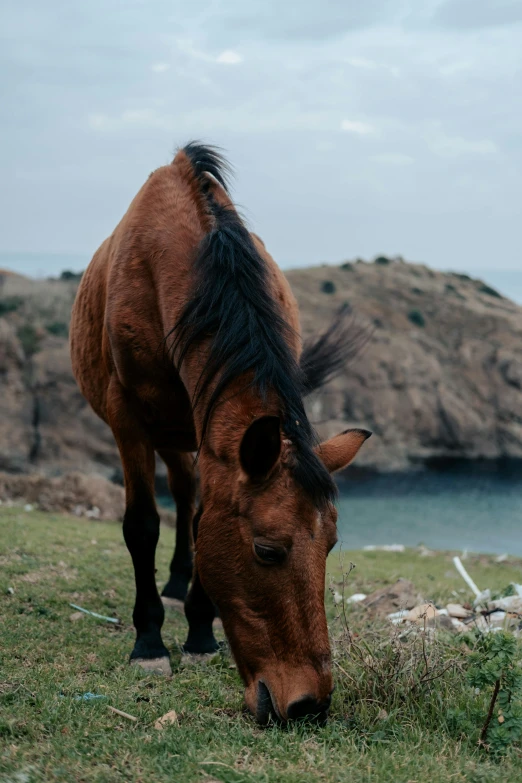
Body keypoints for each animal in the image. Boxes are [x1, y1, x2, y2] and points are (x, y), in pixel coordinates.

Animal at [69, 144, 368, 724]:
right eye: (267, 551)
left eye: (330, 546)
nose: (309, 706)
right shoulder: (127, 418)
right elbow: (142, 525)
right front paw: (150, 645)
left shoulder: (211, 434)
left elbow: (201, 518)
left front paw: (201, 634)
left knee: (187, 498)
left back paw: (180, 584)